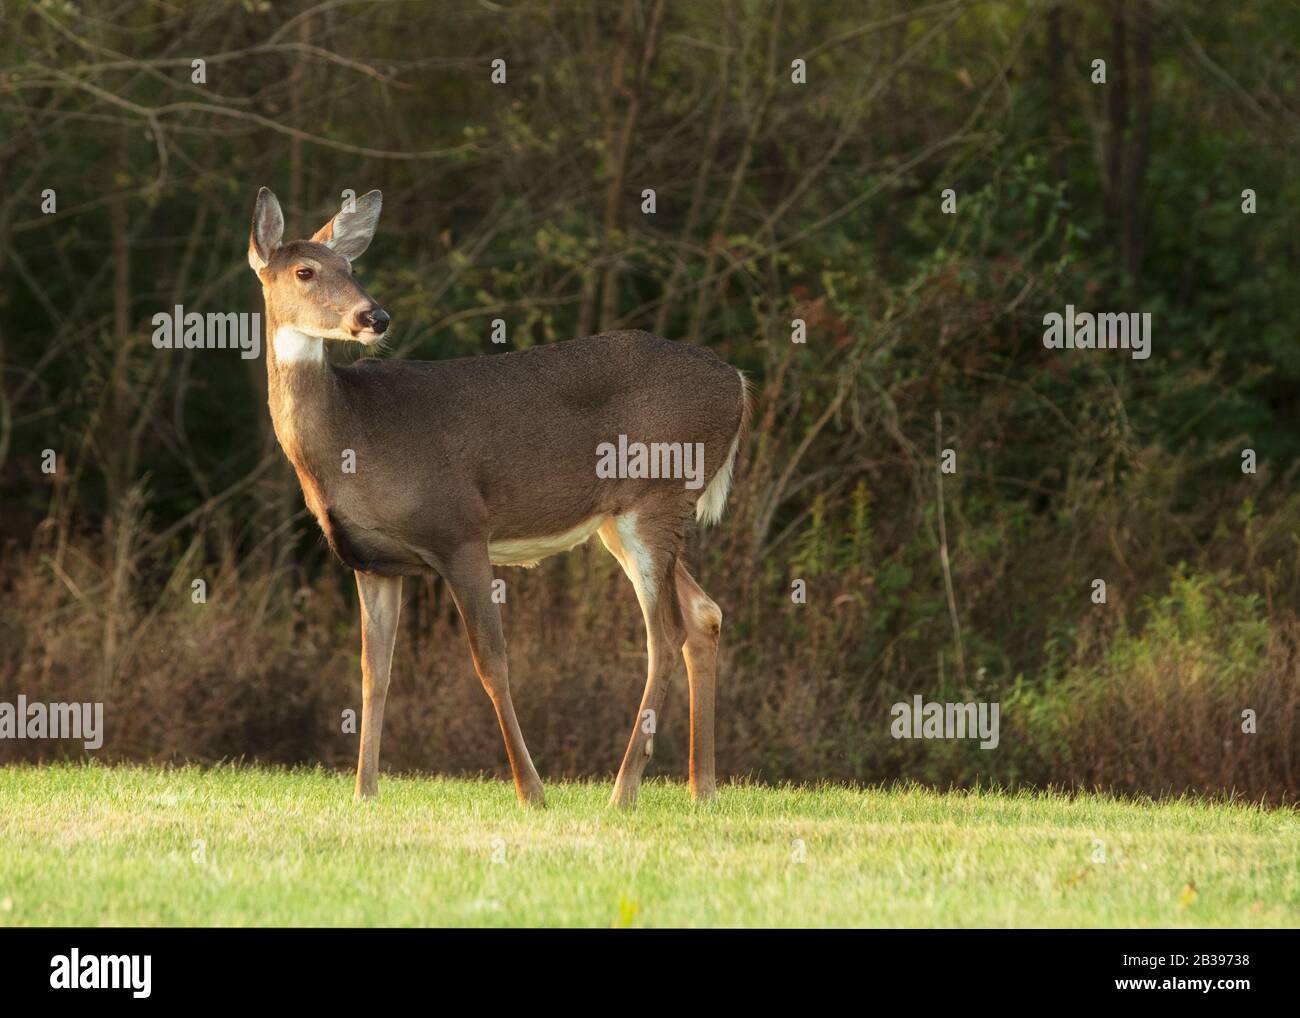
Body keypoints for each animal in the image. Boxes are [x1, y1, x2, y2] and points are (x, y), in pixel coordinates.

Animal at [246, 188, 748, 811]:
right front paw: (364, 791)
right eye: (306, 271)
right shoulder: (372, 561)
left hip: (654, 497)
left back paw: (624, 789)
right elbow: (373, 672)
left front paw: (531, 790)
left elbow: (491, 663)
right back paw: (702, 788)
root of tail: (738, 382)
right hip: (622, 519)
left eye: (351, 268)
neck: (351, 437)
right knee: (705, 614)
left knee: (666, 633)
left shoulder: (461, 530)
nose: (374, 316)